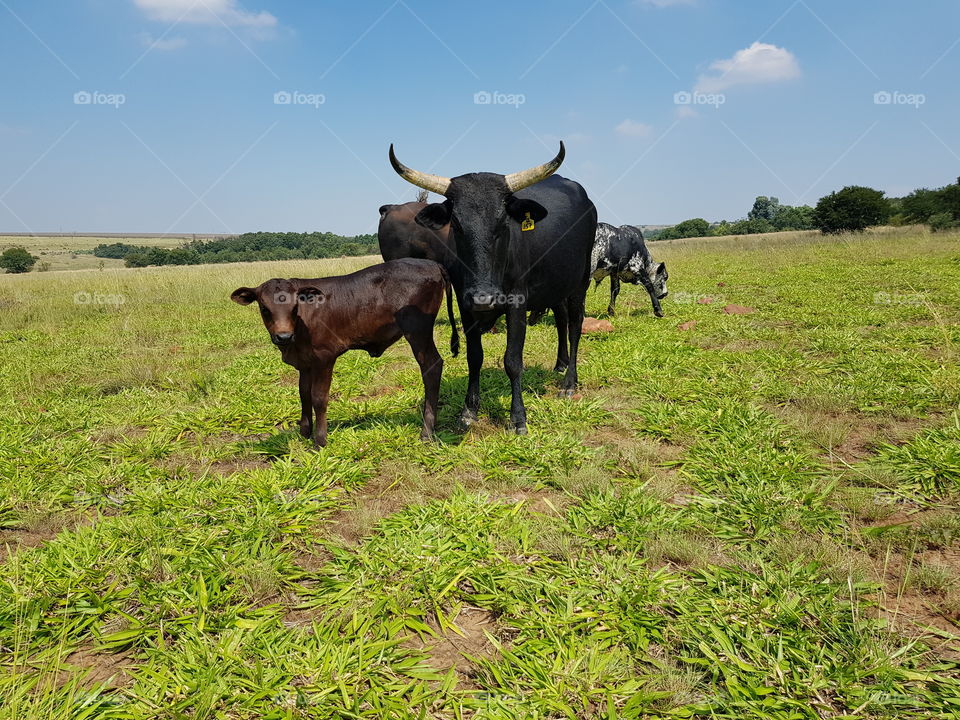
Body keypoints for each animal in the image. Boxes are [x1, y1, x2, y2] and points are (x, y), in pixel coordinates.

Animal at [231, 258, 460, 448]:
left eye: (295, 306)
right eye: (264, 308)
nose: (284, 336)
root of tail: (431, 263)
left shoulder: (324, 357)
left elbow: (318, 397)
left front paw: (319, 441)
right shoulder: (305, 362)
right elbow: (303, 394)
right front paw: (304, 432)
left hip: (418, 331)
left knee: (432, 367)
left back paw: (426, 432)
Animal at [386, 141, 596, 434]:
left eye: (502, 222)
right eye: (457, 224)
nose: (485, 298)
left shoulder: (517, 302)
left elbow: (513, 360)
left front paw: (518, 418)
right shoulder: (466, 305)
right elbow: (474, 356)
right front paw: (469, 411)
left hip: (580, 281)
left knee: (575, 325)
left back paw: (569, 382)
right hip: (557, 285)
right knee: (561, 319)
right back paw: (560, 364)